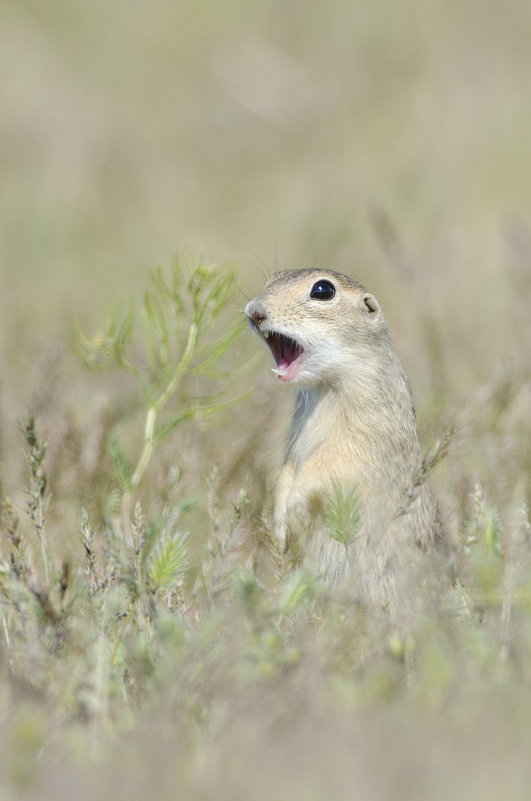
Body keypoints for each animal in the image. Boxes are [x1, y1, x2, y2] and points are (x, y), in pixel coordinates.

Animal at [247, 266, 434, 608]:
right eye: (271, 280)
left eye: (323, 290)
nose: (254, 311)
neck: (324, 386)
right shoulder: (294, 438)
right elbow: (287, 473)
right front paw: (280, 527)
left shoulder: (361, 435)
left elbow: (328, 466)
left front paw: (294, 511)